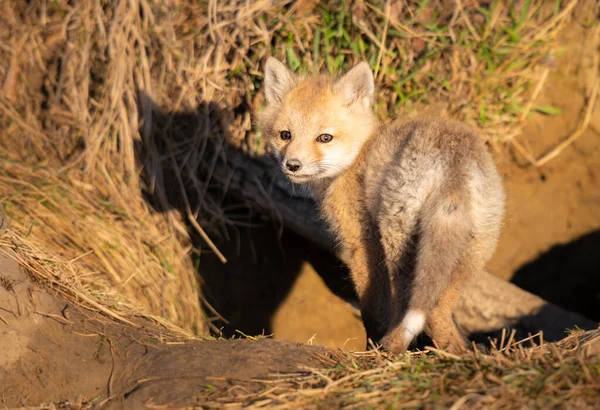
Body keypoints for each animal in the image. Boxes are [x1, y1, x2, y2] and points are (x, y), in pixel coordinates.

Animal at [258, 56, 506, 352]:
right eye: (285, 135)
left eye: (324, 138)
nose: (292, 165)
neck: (357, 157)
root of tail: (454, 163)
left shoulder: (362, 243)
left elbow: (373, 308)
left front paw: (371, 345)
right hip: (473, 252)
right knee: (439, 311)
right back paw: (457, 352)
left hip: (398, 242)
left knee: (414, 306)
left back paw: (392, 349)